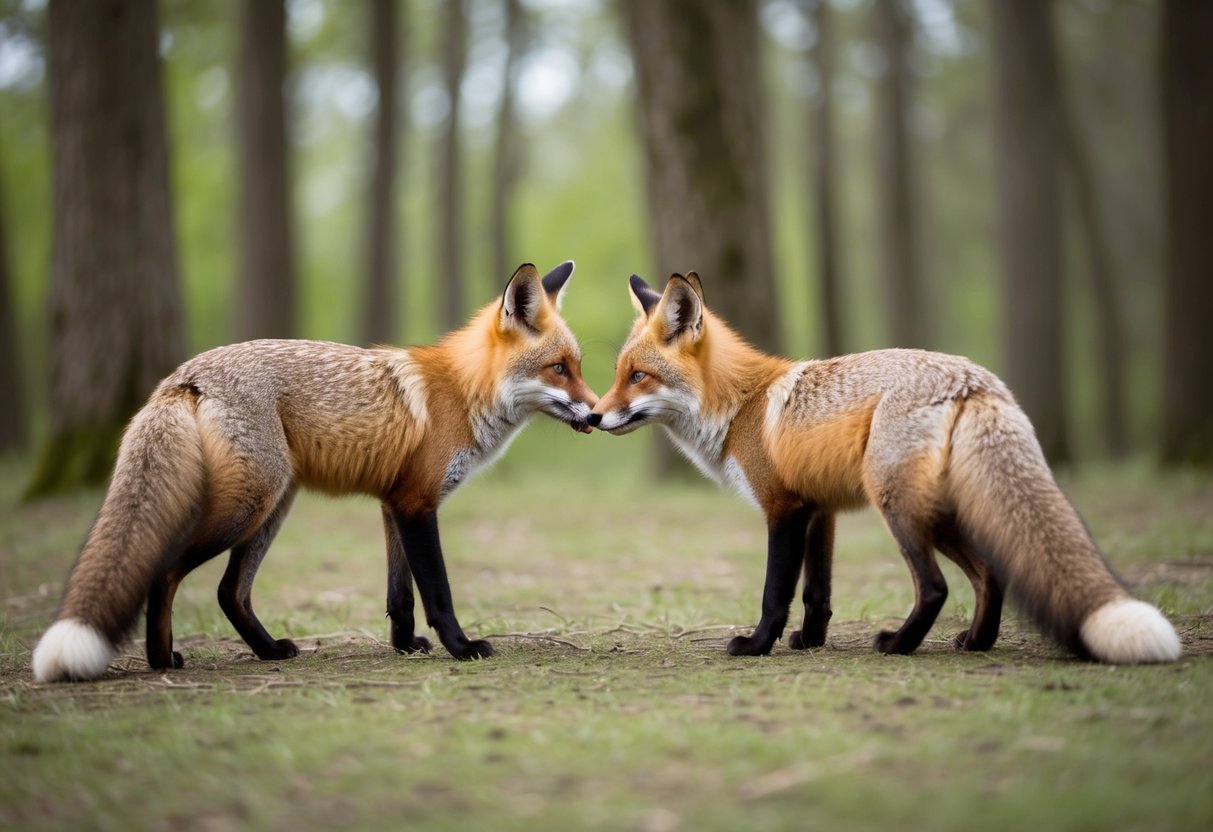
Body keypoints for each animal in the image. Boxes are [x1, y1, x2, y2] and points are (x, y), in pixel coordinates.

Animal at [32, 261, 598, 683]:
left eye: (578, 367)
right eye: (559, 369)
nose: (596, 413)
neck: (463, 394)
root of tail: (182, 376)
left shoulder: (395, 502)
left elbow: (399, 595)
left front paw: (404, 647)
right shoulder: (418, 505)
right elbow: (437, 591)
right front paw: (460, 647)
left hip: (273, 506)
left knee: (229, 591)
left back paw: (265, 652)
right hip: (249, 504)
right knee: (166, 571)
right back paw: (159, 660)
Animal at [587, 272, 1182, 664]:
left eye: (638, 377)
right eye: (619, 374)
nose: (592, 415)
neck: (740, 407)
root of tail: (975, 379)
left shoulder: (784, 508)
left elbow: (775, 593)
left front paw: (756, 646)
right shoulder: (818, 510)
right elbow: (817, 593)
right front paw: (811, 643)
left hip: (897, 504)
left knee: (936, 586)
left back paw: (899, 645)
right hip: (943, 512)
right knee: (991, 574)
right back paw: (976, 643)